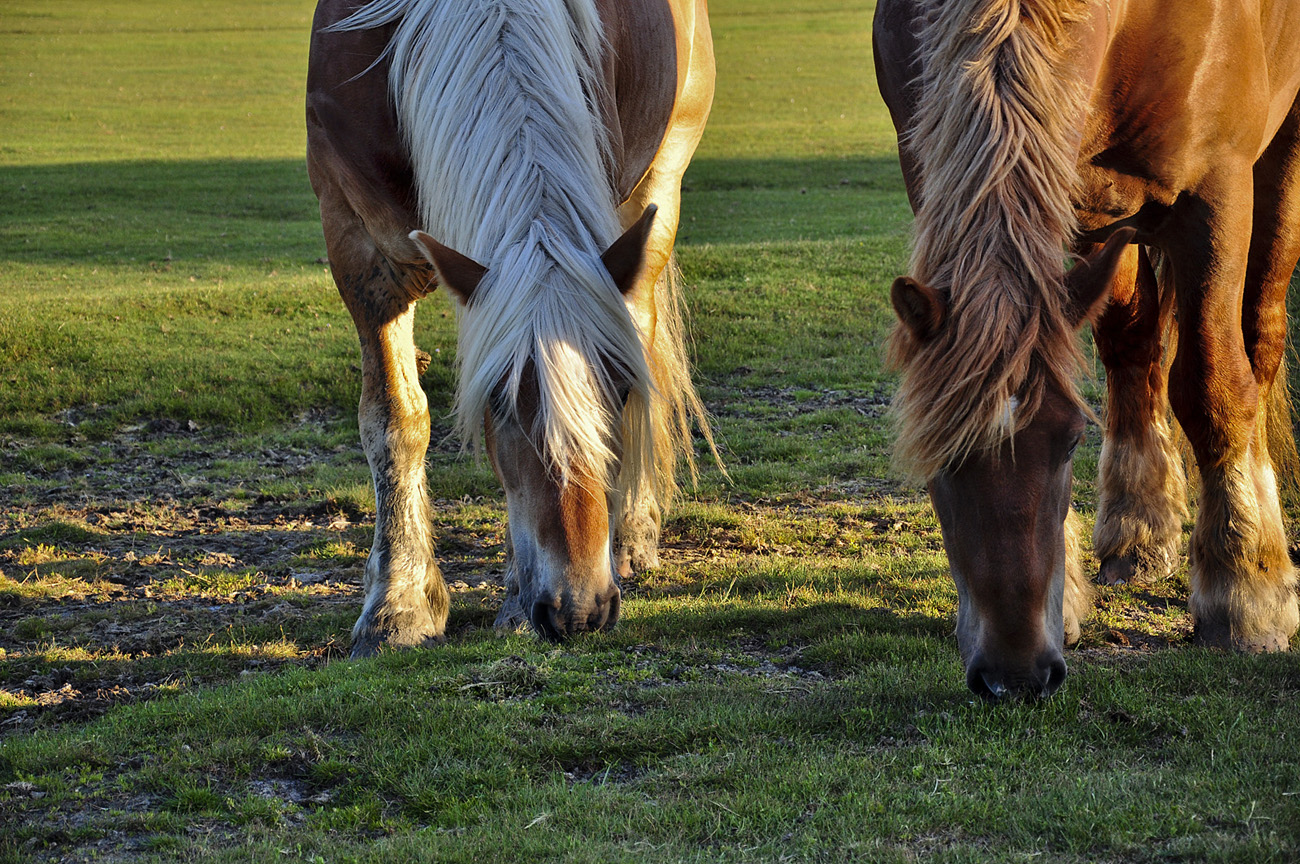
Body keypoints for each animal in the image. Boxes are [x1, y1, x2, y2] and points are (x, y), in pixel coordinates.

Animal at [306, 0, 712, 654]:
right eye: (495, 399)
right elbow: (395, 421)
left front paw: (515, 598)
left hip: (659, 185)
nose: (580, 609)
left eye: (621, 388)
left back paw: (631, 534)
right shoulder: (356, 243)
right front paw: (398, 605)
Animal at [873, 0, 1300, 696]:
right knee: (1134, 342)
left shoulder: (1217, 188)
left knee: (1257, 338)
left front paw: (1245, 596)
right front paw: (1070, 596)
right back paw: (1138, 531)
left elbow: (1212, 385)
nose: (1015, 675)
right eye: (936, 459)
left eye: (1073, 439)